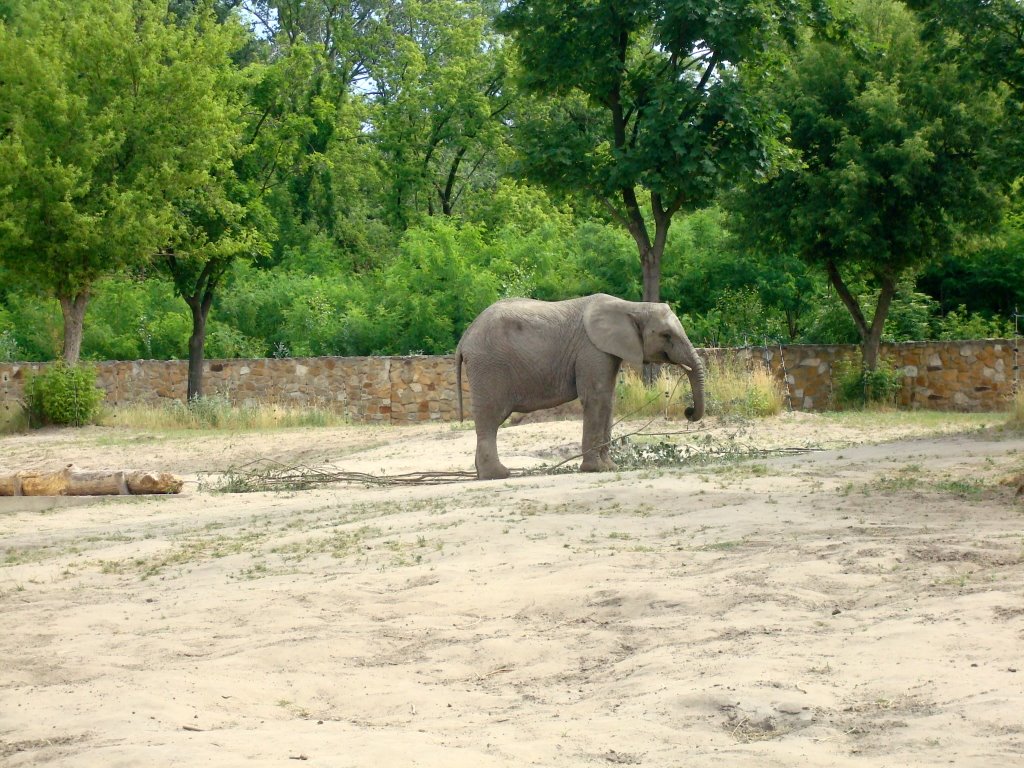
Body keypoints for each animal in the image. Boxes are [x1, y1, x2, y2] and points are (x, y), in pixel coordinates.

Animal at [456, 294, 704, 481]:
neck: (631, 306)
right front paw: (596, 469)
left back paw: (484, 474)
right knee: (490, 419)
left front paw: (610, 467)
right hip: (488, 367)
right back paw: (498, 475)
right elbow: (596, 398)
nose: (688, 412)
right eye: (666, 335)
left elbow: (609, 401)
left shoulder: (606, 352)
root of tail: (464, 339)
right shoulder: (592, 350)